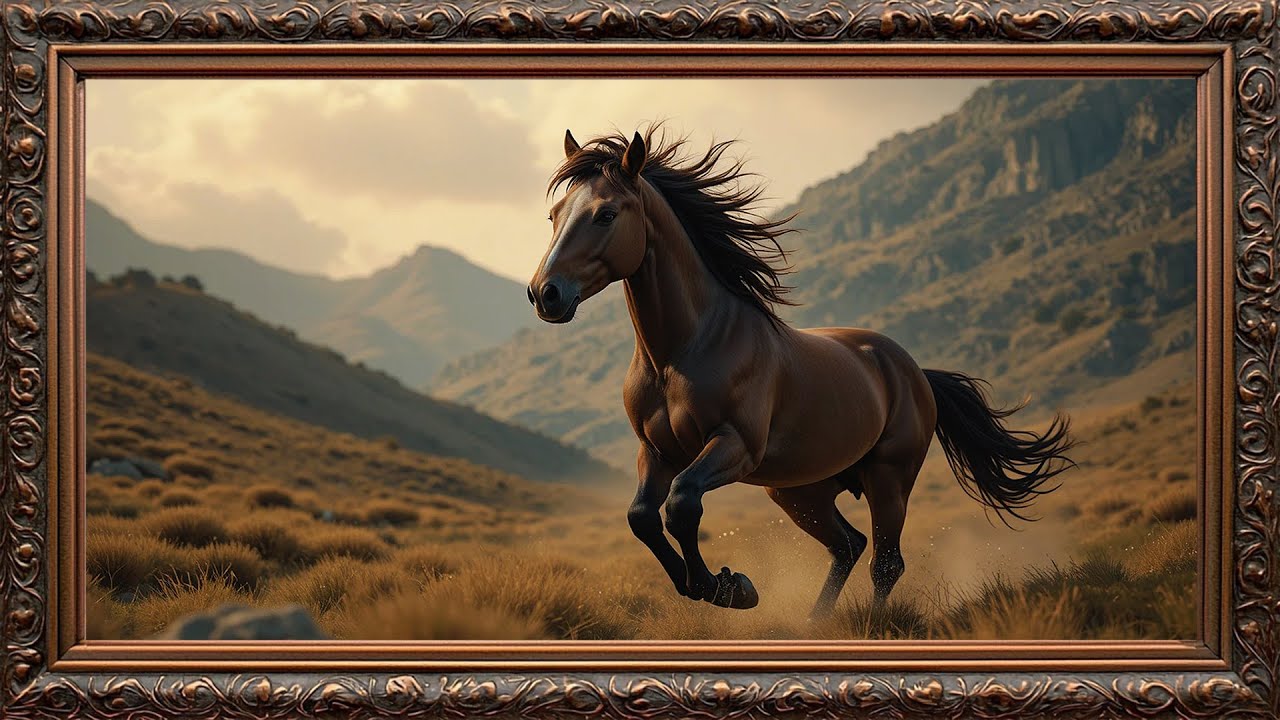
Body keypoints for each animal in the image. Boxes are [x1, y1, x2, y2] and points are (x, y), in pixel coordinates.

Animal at [527, 125, 1075, 618]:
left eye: (606, 214)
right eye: (555, 213)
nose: (544, 294)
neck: (681, 353)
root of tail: (913, 369)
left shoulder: (734, 446)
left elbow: (682, 503)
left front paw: (729, 588)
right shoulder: (656, 451)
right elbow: (641, 516)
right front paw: (713, 586)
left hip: (888, 478)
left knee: (885, 562)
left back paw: (867, 626)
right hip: (800, 490)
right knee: (848, 545)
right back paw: (815, 622)